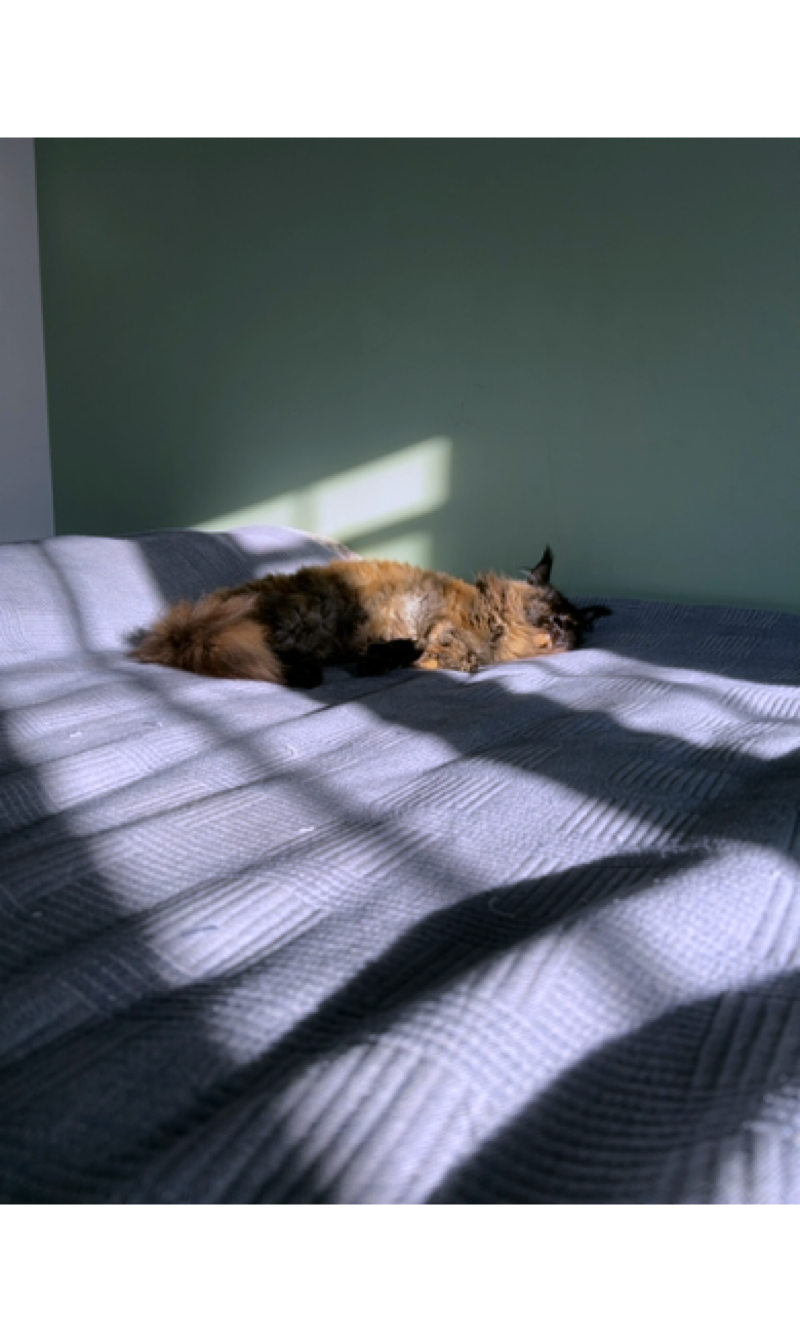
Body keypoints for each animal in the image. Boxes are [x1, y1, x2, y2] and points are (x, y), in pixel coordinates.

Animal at [132, 547, 606, 687]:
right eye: (553, 615)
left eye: (572, 626)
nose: (561, 632)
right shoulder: (440, 618)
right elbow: (450, 646)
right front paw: (445, 657)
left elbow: (431, 653)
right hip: (289, 621)